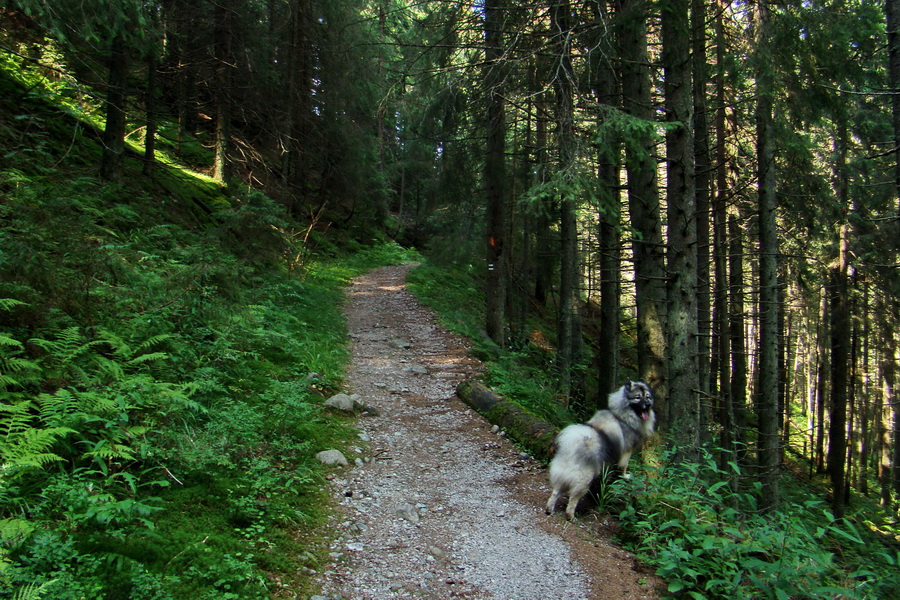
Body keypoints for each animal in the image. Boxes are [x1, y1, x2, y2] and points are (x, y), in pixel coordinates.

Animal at [544, 382, 656, 516]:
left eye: (648, 397)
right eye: (638, 397)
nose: (648, 404)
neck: (622, 417)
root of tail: (574, 443)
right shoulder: (627, 452)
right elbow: (623, 466)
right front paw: (625, 476)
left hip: (562, 474)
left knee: (555, 492)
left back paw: (550, 508)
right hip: (584, 479)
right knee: (573, 498)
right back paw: (570, 515)